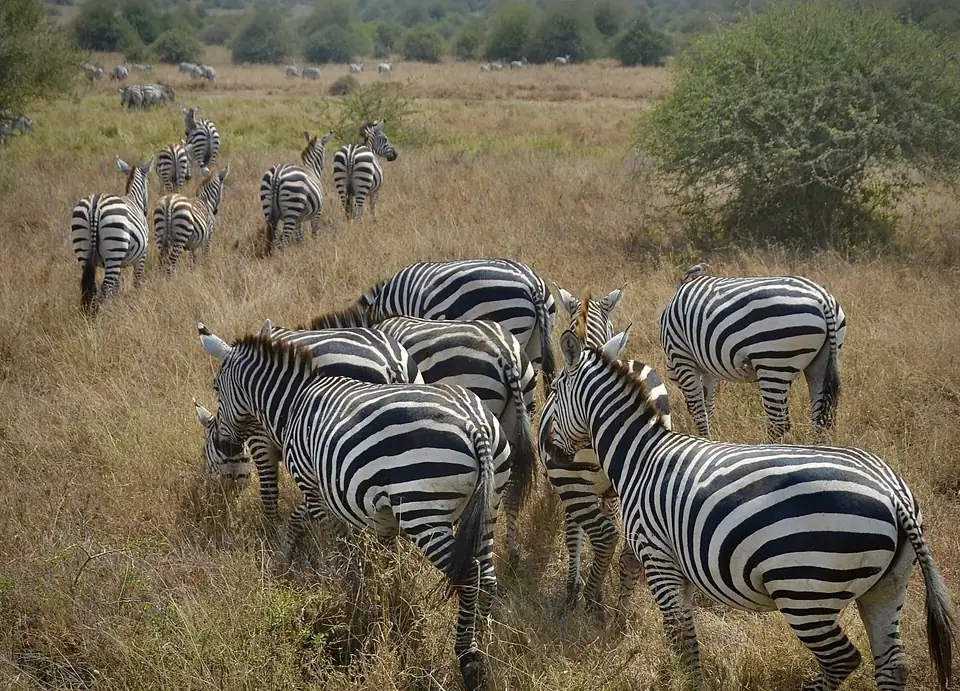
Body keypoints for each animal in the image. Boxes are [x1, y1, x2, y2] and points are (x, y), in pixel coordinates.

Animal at [70, 156, 153, 312]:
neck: (133, 199)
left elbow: (116, 287)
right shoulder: (142, 256)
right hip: (114, 249)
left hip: (84, 250)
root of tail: (95, 205)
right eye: (148, 184)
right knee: (105, 288)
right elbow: (137, 281)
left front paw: (116, 305)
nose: (146, 211)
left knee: (90, 289)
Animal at [195, 319, 423, 517]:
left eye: (204, 456)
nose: (218, 503)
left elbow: (268, 493)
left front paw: (270, 531)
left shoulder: (261, 442)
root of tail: (391, 362)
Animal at [538, 286, 673, 608]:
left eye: (556, 389)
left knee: (604, 536)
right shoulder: (612, 491)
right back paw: (619, 599)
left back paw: (593, 598)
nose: (550, 446)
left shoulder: (568, 486)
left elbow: (573, 533)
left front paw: (574, 586)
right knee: (629, 545)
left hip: (573, 484)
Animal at [547, 325, 955, 691]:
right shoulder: (677, 566)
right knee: (893, 665)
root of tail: (895, 494)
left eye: (552, 392)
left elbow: (683, 640)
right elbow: (681, 635)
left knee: (842, 659)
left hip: (804, 591)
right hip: (888, 587)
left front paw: (689, 683)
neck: (640, 455)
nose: (552, 453)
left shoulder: (658, 558)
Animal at [659, 266, 848, 441]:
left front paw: (704, 442)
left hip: (773, 363)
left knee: (778, 424)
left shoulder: (682, 356)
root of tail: (822, 298)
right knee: (820, 421)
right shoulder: (707, 368)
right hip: (821, 362)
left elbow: (699, 412)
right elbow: (708, 405)